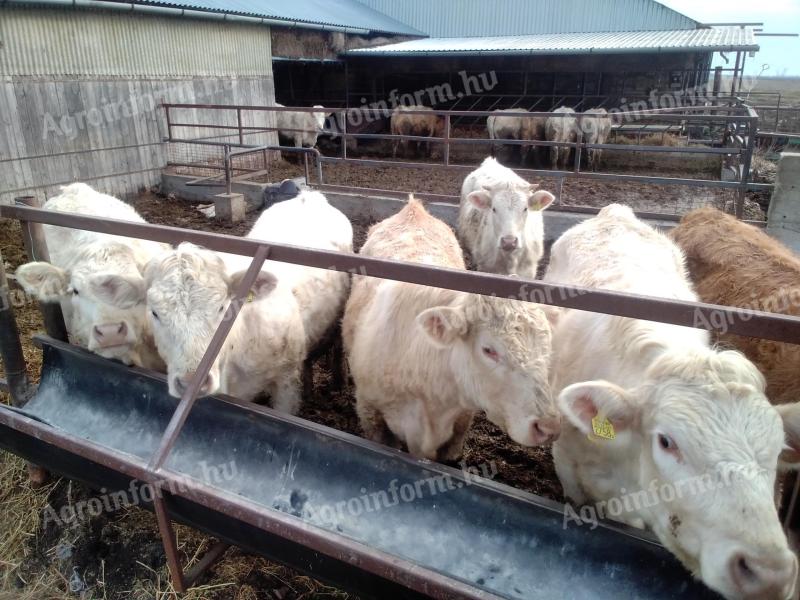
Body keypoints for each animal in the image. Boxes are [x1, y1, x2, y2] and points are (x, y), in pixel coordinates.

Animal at [340, 196, 560, 460]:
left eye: (547, 348)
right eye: (488, 350)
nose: (547, 426)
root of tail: (413, 208)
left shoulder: (459, 428)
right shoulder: (371, 414)